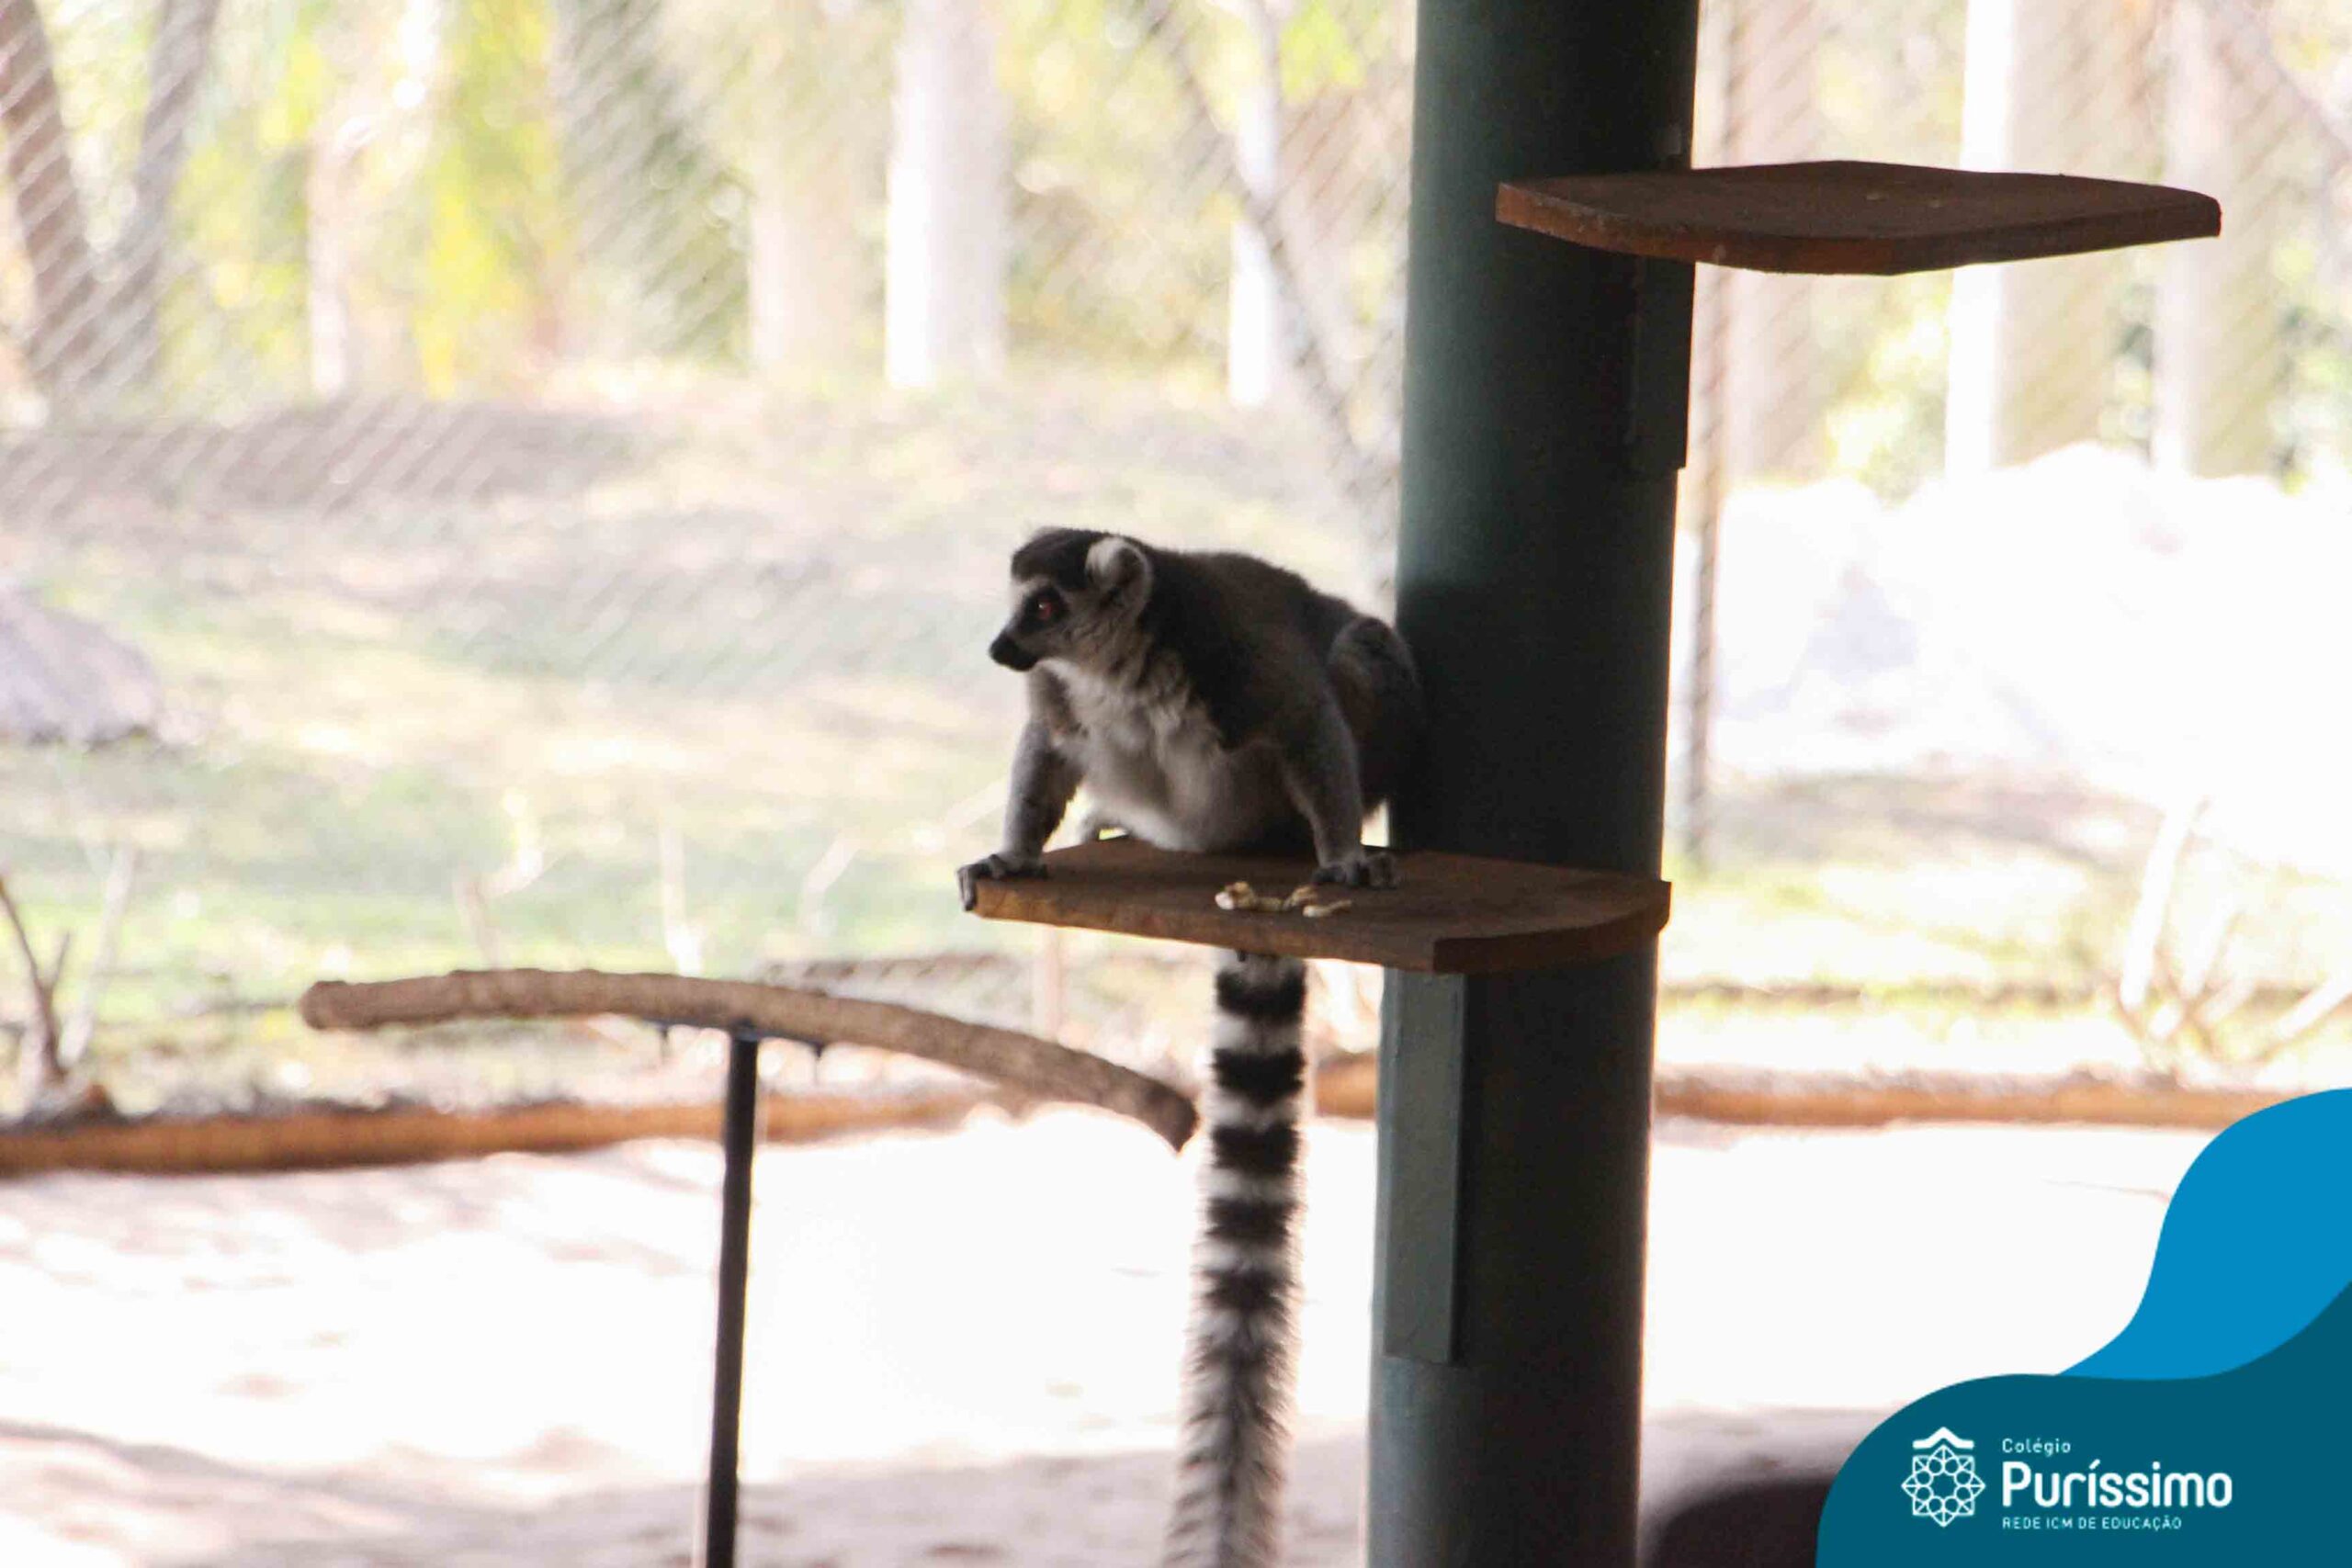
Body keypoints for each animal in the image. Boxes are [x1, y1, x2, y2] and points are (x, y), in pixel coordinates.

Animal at [957, 528, 1423, 1568]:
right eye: (1015, 604)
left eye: (1043, 607)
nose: (1000, 650)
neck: (1117, 674)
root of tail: (1216, 846)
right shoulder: (1062, 702)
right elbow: (1047, 752)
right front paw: (1014, 853)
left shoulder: (1239, 656)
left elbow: (1310, 715)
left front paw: (1342, 854)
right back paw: (1109, 822)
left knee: (1360, 649)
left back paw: (1304, 843)